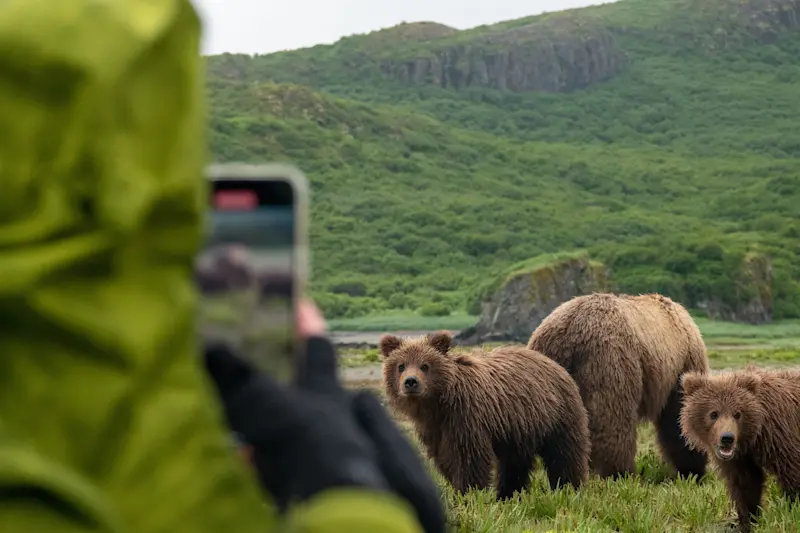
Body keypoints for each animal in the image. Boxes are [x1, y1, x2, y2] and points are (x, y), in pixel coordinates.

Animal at [379, 330, 590, 500]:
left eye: (425, 365)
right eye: (401, 365)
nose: (410, 382)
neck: (437, 405)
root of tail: (555, 364)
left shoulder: (467, 417)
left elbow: (469, 458)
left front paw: (469, 493)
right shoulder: (434, 429)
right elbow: (444, 458)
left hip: (556, 413)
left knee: (563, 453)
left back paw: (569, 487)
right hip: (519, 428)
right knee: (514, 463)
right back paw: (508, 494)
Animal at [526, 292, 710, 480]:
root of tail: (568, 336)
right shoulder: (683, 364)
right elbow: (677, 416)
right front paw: (692, 468)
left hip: (548, 377)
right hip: (610, 363)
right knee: (614, 425)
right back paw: (621, 473)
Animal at [680, 368, 800, 532]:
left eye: (737, 414)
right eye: (713, 413)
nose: (727, 438)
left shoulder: (781, 435)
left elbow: (792, 472)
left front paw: (792, 511)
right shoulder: (739, 458)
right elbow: (745, 483)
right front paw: (746, 522)